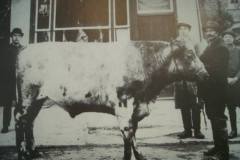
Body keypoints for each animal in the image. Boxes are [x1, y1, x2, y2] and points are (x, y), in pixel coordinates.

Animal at [15, 40, 209, 159]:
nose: (206, 74)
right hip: (28, 96)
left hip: (37, 100)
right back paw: (23, 152)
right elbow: (128, 137)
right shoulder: (124, 105)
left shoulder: (136, 108)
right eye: (189, 55)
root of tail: (25, 49)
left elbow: (134, 135)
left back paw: (33, 152)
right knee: (20, 120)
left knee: (30, 122)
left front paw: (140, 156)